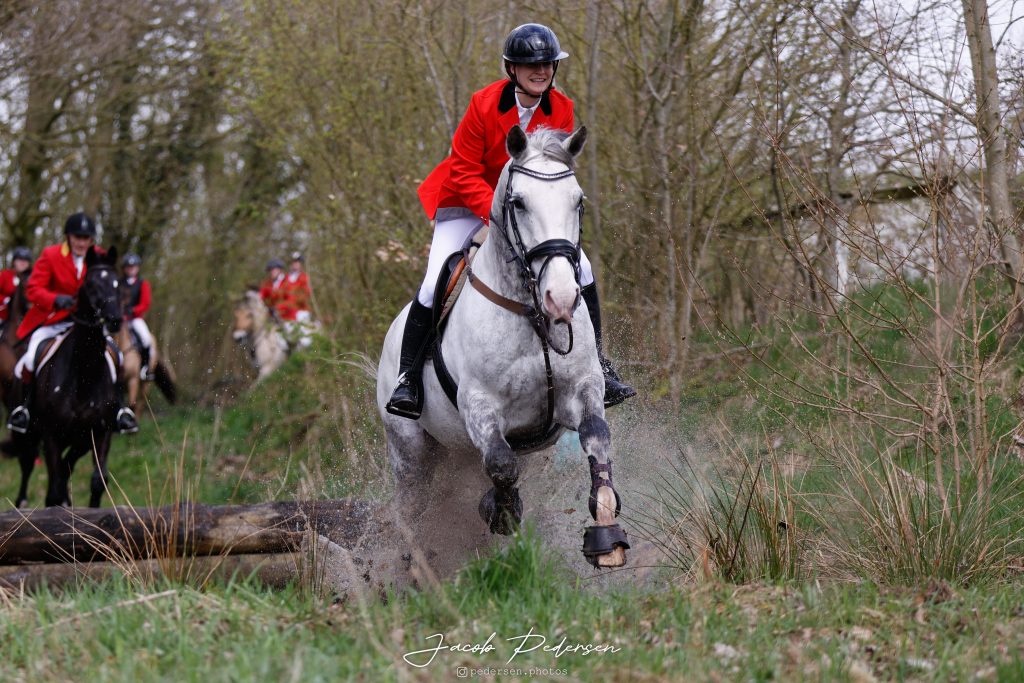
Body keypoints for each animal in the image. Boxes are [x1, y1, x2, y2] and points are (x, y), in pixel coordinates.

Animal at [376, 125, 626, 569]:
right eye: (519, 203)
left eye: (578, 201)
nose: (561, 299)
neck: (531, 313)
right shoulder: (479, 405)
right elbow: (501, 462)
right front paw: (501, 512)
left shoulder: (579, 390)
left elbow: (597, 437)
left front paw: (606, 534)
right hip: (409, 452)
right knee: (411, 509)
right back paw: (413, 567)